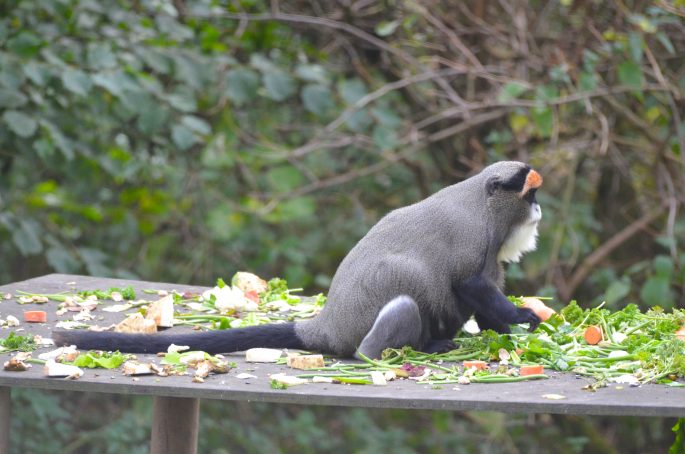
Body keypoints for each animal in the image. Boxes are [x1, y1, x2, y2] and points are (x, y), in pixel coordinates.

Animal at [53, 161, 544, 360]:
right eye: (530, 194)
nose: (539, 211)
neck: (487, 205)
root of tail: (324, 326)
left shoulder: (492, 256)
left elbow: (485, 294)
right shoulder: (472, 240)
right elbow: (469, 284)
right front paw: (526, 319)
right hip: (368, 332)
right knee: (399, 311)